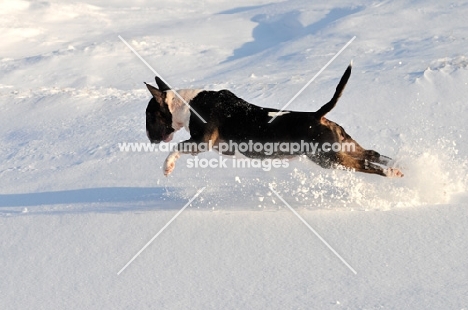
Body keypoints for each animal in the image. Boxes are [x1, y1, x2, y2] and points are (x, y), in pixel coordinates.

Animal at [145, 64, 402, 178]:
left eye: (149, 116)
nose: (149, 137)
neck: (185, 103)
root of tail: (317, 115)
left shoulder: (201, 141)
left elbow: (177, 148)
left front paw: (167, 166)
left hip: (328, 158)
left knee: (367, 164)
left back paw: (391, 173)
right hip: (342, 145)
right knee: (373, 154)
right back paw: (398, 165)